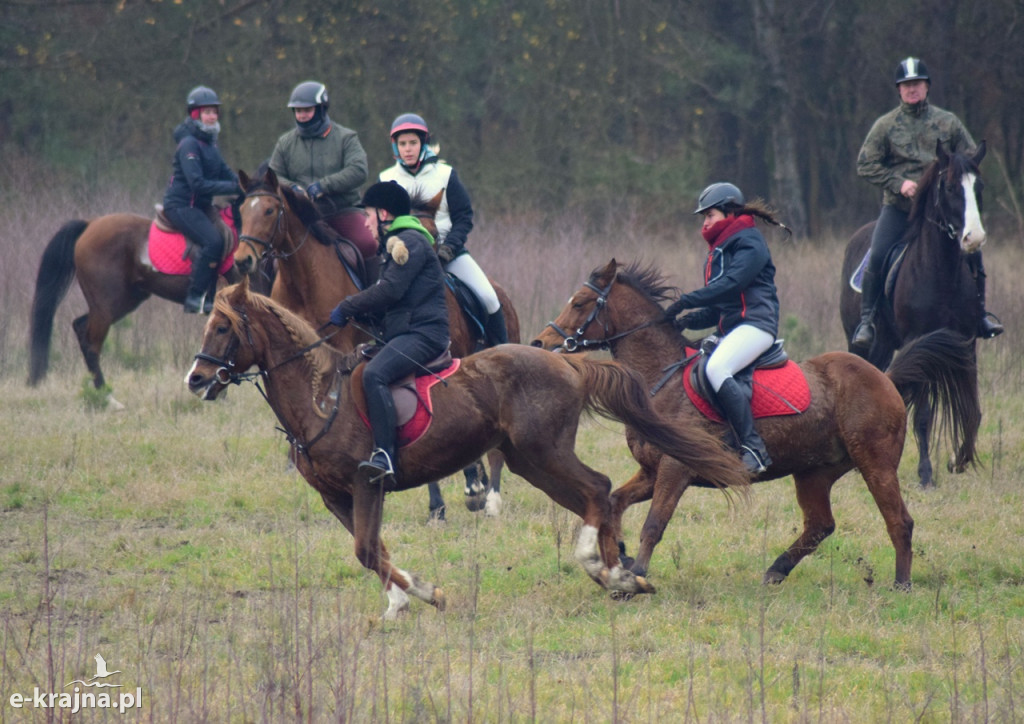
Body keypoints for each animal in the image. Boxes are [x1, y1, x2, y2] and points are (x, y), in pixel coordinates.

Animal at [28, 206, 256, 405]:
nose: (245, 260)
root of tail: (90, 224)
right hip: (106, 304)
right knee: (92, 343)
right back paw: (107, 398)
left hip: (123, 301)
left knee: (80, 326)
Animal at [184, 280, 749, 618]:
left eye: (224, 327)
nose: (196, 379)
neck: (323, 398)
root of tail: (565, 361)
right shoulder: (335, 496)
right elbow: (374, 552)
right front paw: (407, 598)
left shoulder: (367, 482)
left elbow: (366, 548)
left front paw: (417, 595)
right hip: (528, 460)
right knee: (600, 498)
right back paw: (621, 577)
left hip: (544, 452)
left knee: (598, 489)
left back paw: (604, 568)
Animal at [232, 168, 520, 520]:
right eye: (243, 211)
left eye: (270, 210)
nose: (243, 260)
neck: (305, 280)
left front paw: (465, 489)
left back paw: (486, 493)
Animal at [532, 260, 978, 589]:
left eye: (581, 302)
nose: (541, 343)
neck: (660, 378)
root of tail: (885, 377)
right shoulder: (651, 470)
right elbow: (615, 503)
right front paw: (621, 555)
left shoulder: (676, 469)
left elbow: (655, 523)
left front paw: (637, 573)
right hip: (814, 471)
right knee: (820, 525)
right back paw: (776, 571)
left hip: (876, 462)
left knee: (898, 520)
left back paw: (901, 583)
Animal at [843, 140, 987, 487]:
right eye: (950, 187)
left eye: (979, 187)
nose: (973, 238)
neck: (941, 273)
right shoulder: (916, 339)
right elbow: (923, 414)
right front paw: (925, 474)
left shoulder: (965, 343)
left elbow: (972, 409)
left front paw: (959, 460)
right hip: (861, 342)